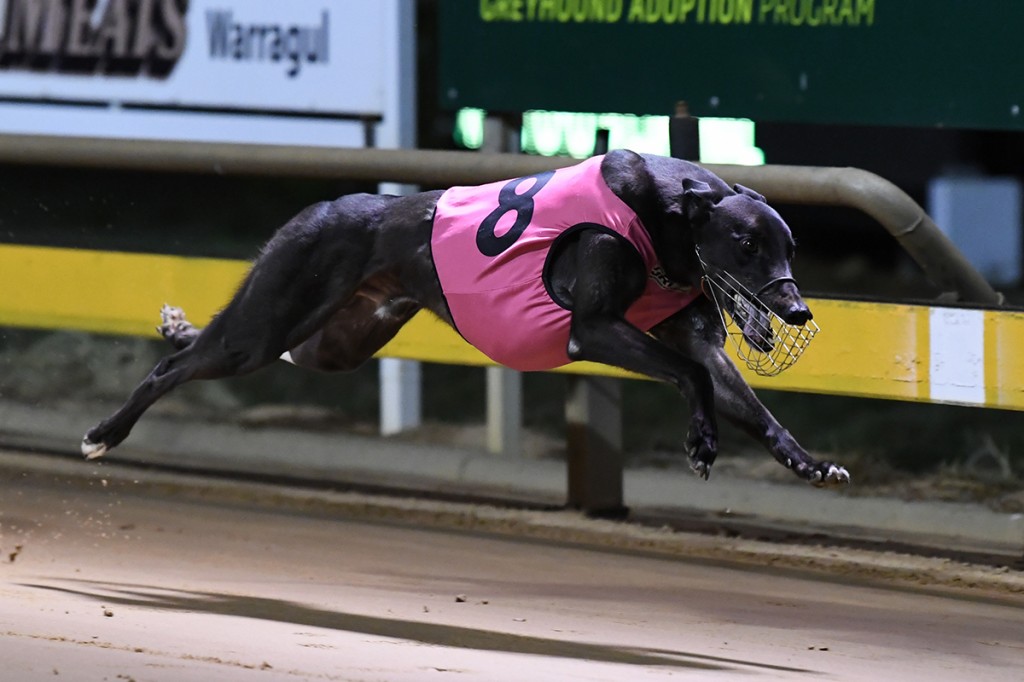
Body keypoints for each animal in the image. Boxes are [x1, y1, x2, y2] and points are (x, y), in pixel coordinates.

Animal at [79, 151, 847, 485]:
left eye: (789, 245)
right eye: (747, 244)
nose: (796, 307)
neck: (661, 212)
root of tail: (323, 207)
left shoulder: (689, 334)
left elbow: (735, 391)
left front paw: (807, 462)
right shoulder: (594, 327)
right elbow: (692, 374)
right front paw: (701, 442)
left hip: (335, 340)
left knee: (239, 349)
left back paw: (175, 326)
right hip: (265, 326)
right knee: (174, 368)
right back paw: (104, 433)